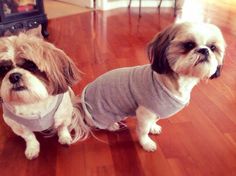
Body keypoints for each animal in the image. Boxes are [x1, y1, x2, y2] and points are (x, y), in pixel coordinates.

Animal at [0, 27, 88, 160]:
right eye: (4, 69)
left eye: (31, 65)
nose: (14, 76)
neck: (33, 101)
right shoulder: (16, 124)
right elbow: (29, 136)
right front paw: (32, 148)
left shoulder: (64, 113)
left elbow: (62, 127)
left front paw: (64, 137)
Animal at [80, 21, 226, 151]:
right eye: (189, 45)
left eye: (213, 48)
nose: (204, 50)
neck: (175, 82)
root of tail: (83, 101)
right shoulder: (145, 111)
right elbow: (143, 130)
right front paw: (146, 143)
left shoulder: (155, 110)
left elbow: (152, 121)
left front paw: (153, 127)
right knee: (98, 124)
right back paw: (111, 126)